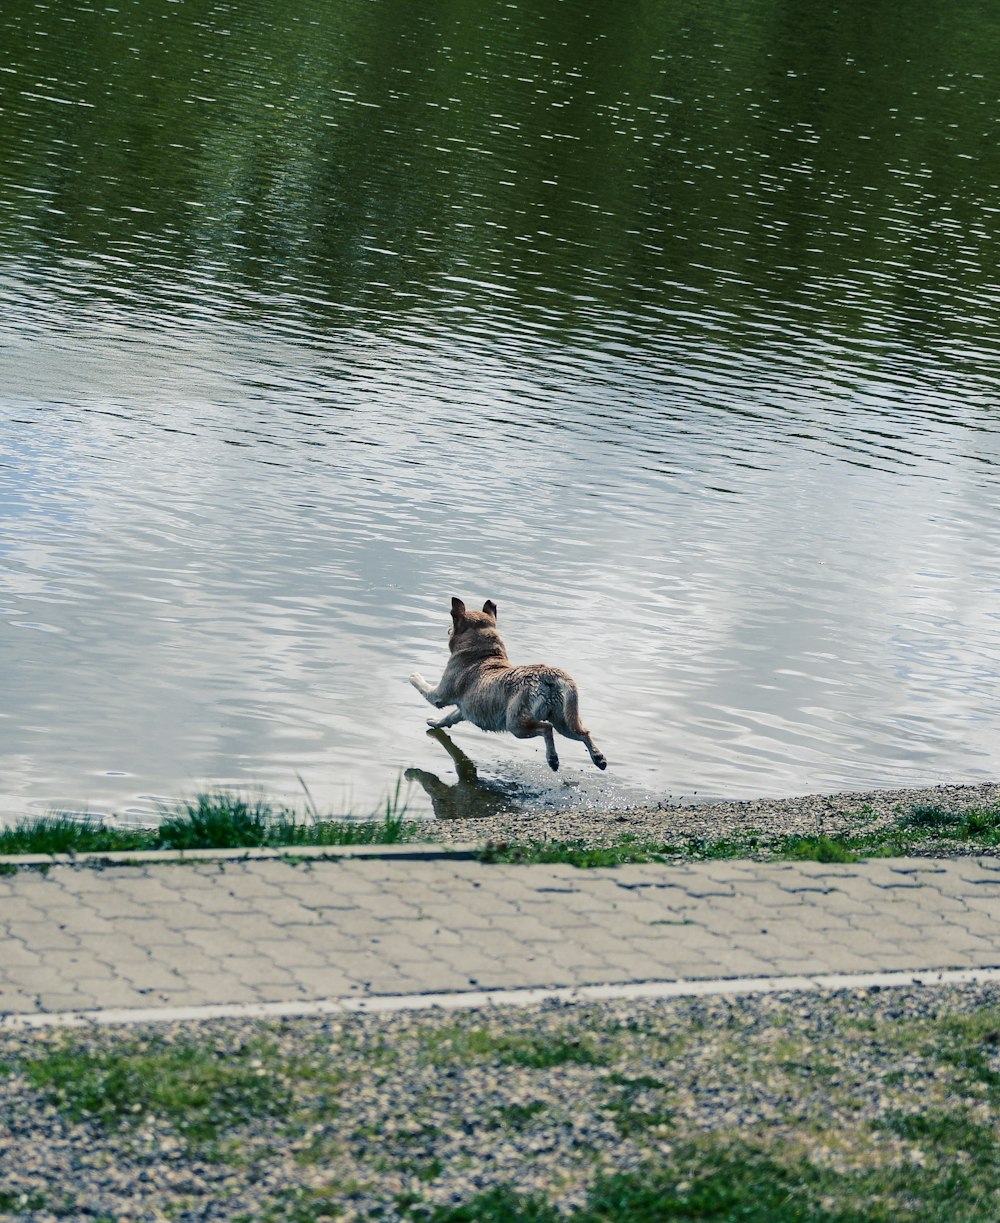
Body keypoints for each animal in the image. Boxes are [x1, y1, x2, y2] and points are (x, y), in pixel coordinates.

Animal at [408, 599, 608, 772]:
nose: (447, 629)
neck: (483, 655)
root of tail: (547, 673)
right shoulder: (465, 709)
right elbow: (449, 717)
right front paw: (435, 722)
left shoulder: (441, 695)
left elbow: (424, 688)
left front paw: (413, 675)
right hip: (563, 720)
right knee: (583, 733)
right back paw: (598, 758)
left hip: (516, 724)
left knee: (546, 729)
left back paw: (553, 759)